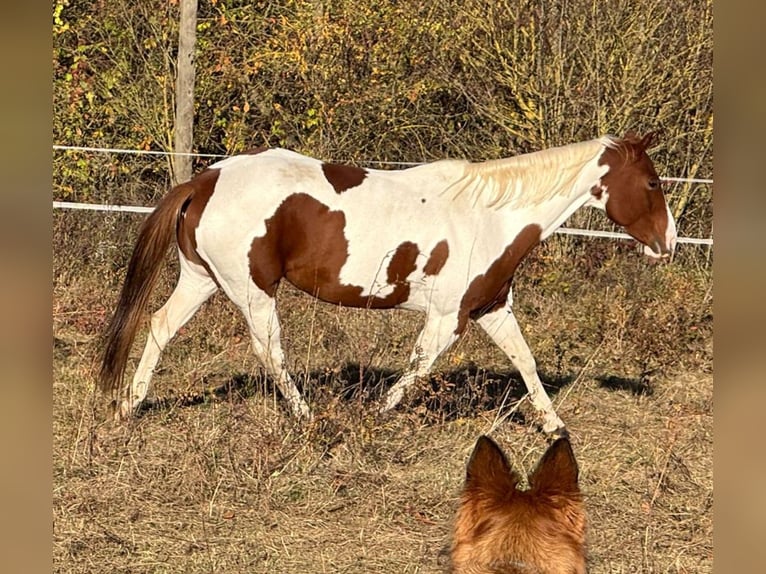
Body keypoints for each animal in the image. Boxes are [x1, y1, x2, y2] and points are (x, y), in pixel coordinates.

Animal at [97, 133, 680, 434]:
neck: (491, 215)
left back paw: (129, 407)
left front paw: (554, 427)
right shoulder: (449, 319)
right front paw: (373, 418)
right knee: (270, 351)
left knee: (159, 326)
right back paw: (309, 419)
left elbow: (526, 362)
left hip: (202, 280)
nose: (668, 243)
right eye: (652, 182)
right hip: (252, 290)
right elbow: (418, 370)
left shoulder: (492, 308)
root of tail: (205, 179)